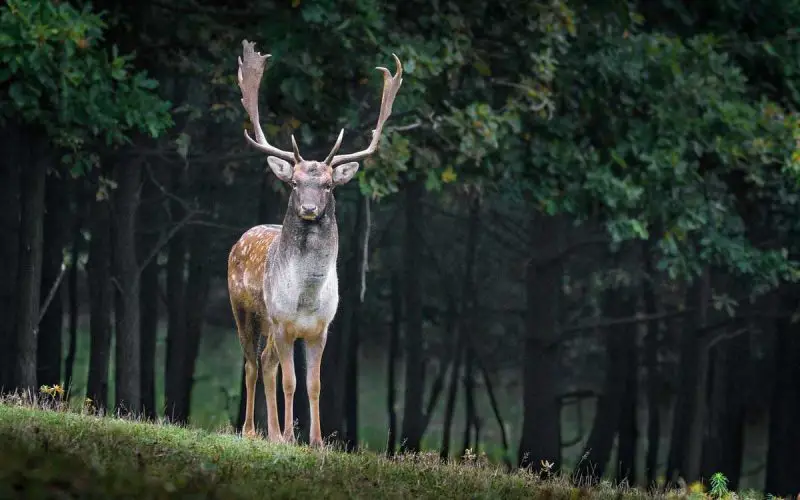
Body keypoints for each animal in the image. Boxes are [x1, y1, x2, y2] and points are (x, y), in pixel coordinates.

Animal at [227, 40, 404, 446]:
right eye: (294, 182)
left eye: (328, 185)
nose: (308, 208)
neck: (306, 298)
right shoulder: (282, 322)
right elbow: (291, 381)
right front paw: (289, 436)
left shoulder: (321, 329)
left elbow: (314, 384)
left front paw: (317, 441)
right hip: (244, 311)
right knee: (251, 363)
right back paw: (252, 430)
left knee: (265, 362)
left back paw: (272, 432)